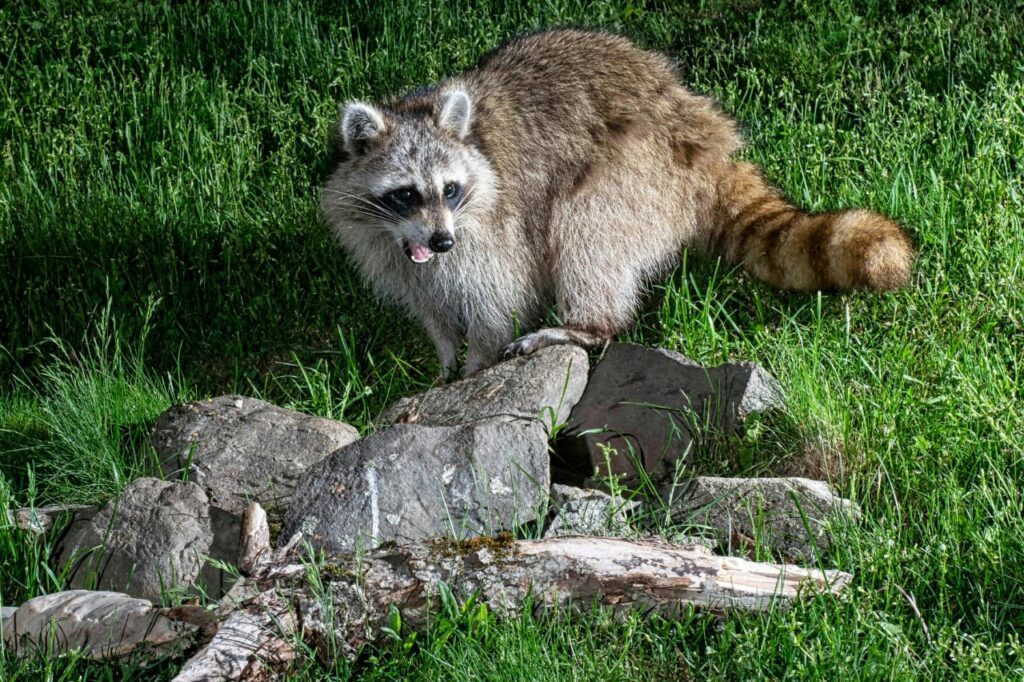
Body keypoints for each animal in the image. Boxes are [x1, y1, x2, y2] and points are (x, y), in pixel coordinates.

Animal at [321, 30, 914, 378]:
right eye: (406, 194)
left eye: (450, 189)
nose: (442, 240)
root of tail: (706, 140)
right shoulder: (391, 243)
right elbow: (429, 298)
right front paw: (445, 353)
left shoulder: (494, 223)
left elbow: (498, 294)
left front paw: (477, 360)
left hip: (636, 171)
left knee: (587, 229)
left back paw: (588, 323)